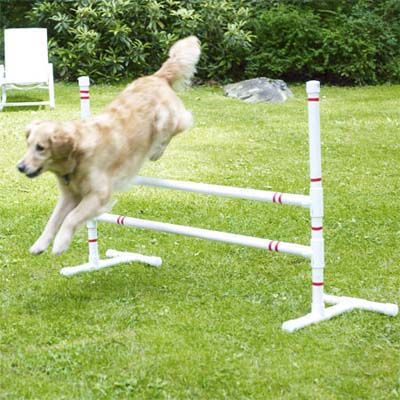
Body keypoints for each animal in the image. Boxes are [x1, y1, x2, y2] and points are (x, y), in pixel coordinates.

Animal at [17, 36, 202, 255]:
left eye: (40, 148)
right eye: (28, 145)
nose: (20, 167)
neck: (78, 156)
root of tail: (157, 77)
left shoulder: (98, 194)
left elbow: (71, 218)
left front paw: (61, 243)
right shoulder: (69, 196)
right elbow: (53, 220)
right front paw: (40, 244)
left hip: (165, 120)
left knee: (181, 123)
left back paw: (157, 151)